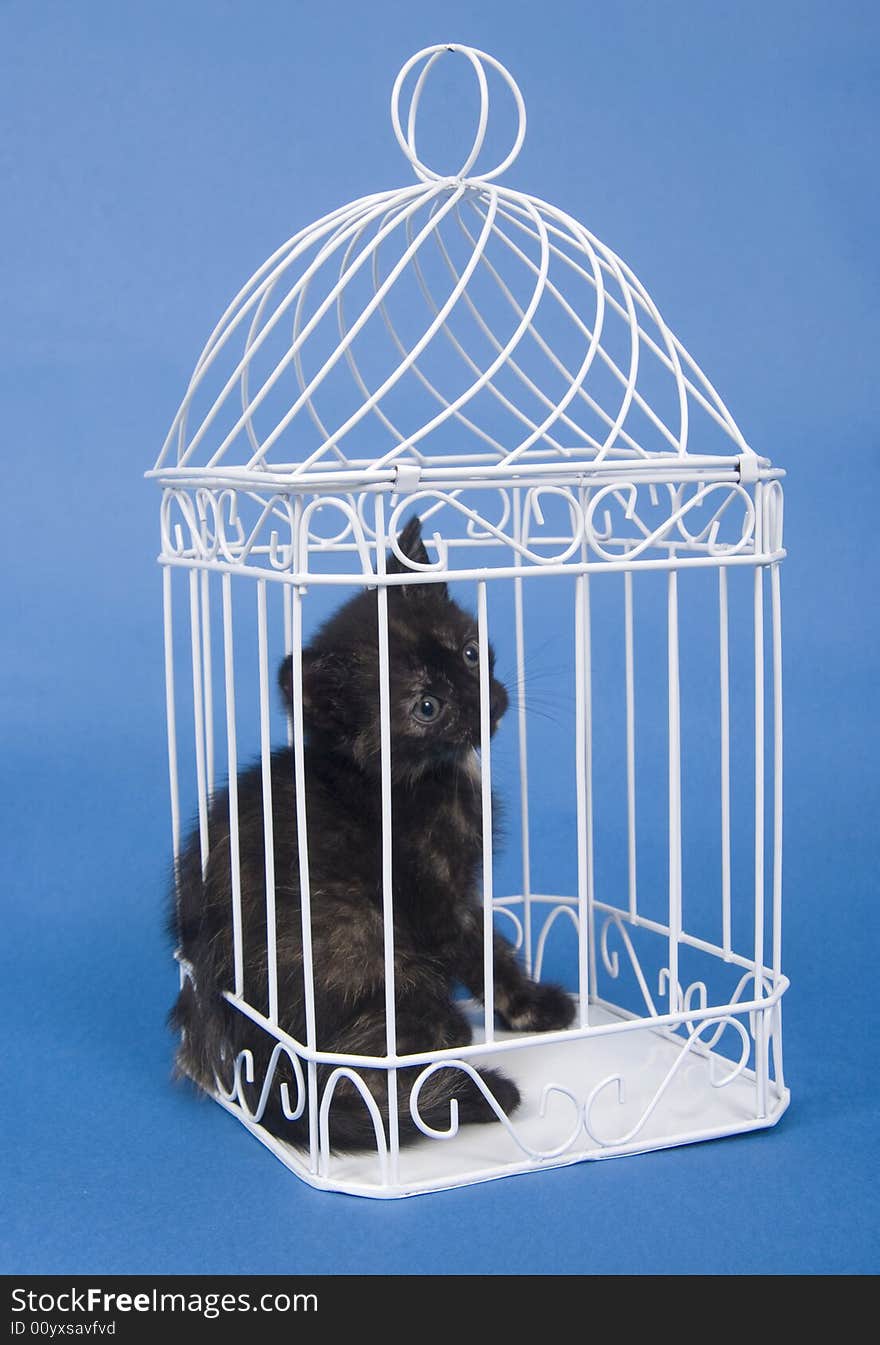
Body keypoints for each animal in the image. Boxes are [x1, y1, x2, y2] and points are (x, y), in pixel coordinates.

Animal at [170, 511, 578, 1145]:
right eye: (427, 708)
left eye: (468, 653)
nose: (483, 701)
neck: (414, 776)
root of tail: (258, 1064)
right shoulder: (437, 900)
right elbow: (485, 953)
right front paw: (530, 1008)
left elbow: (496, 949)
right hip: (375, 957)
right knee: (358, 1075)